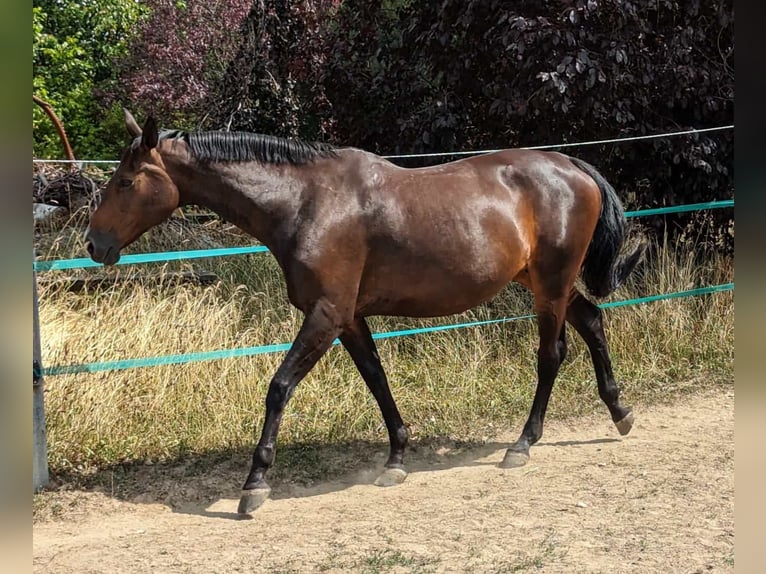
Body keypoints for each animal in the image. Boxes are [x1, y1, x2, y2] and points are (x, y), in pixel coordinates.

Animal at [85, 110, 648, 516]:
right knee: (592, 320)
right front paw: (396, 458)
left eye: (126, 182)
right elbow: (377, 380)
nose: (94, 245)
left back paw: (523, 443)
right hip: (543, 282)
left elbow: (279, 387)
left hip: (550, 286)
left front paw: (254, 484)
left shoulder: (326, 314)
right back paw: (620, 413)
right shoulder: (350, 318)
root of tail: (571, 166)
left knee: (551, 354)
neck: (305, 200)